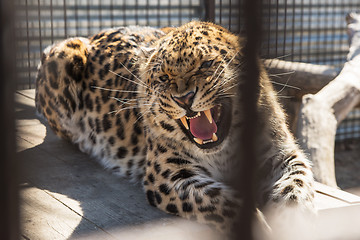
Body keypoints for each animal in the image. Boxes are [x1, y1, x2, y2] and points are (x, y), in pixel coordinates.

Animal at [34, 21, 316, 234]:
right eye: (163, 78)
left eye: (206, 65)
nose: (184, 99)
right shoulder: (170, 174)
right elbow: (222, 200)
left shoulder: (281, 154)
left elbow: (297, 186)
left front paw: (293, 221)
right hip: (63, 54)